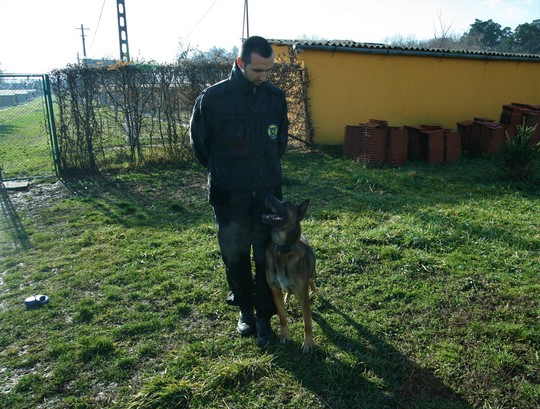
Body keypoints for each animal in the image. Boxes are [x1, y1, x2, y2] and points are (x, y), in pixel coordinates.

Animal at [262, 194, 316, 350]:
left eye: (287, 204)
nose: (268, 195)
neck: (283, 249)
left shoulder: (303, 297)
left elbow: (307, 323)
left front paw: (308, 343)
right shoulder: (275, 291)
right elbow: (282, 317)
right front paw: (285, 335)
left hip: (312, 273)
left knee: (312, 280)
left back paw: (313, 290)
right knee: (289, 291)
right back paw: (287, 297)